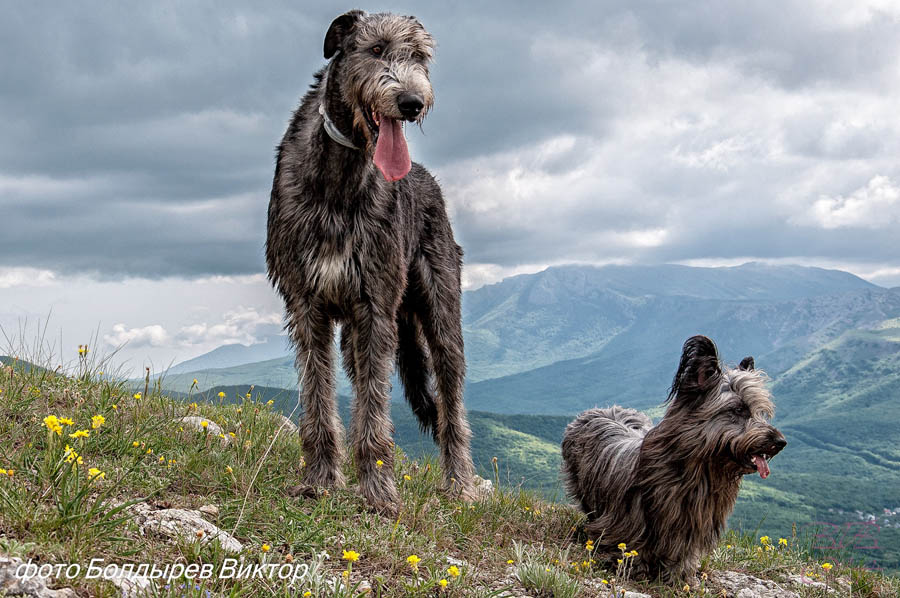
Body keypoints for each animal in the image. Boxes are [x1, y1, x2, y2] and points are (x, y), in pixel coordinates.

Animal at [564, 338, 788, 584]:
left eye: (760, 412)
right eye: (738, 409)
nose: (780, 442)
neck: (697, 471)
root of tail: (601, 409)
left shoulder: (693, 521)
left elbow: (683, 551)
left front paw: (679, 576)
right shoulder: (632, 517)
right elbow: (633, 543)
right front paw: (636, 568)